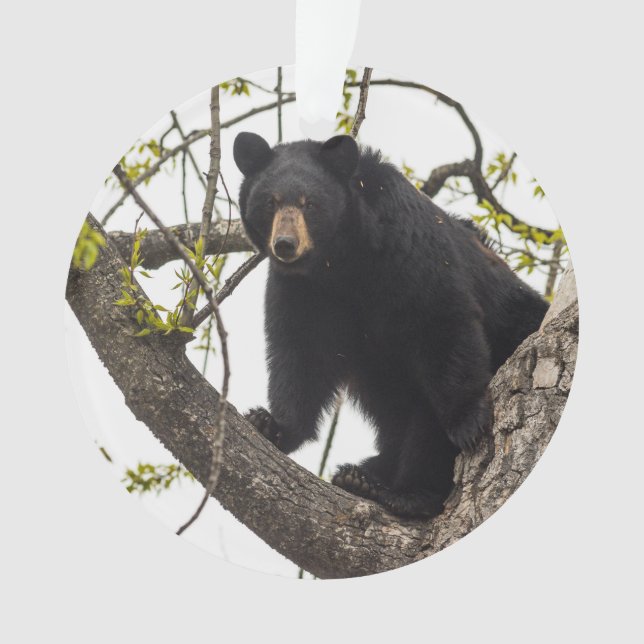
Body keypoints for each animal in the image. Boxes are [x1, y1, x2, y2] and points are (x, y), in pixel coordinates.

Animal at [233, 131, 548, 519]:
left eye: (310, 204)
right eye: (270, 202)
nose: (285, 245)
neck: (341, 262)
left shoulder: (408, 249)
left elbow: (442, 322)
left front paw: (467, 421)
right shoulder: (302, 291)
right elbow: (301, 353)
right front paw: (271, 424)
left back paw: (404, 492)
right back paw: (361, 475)